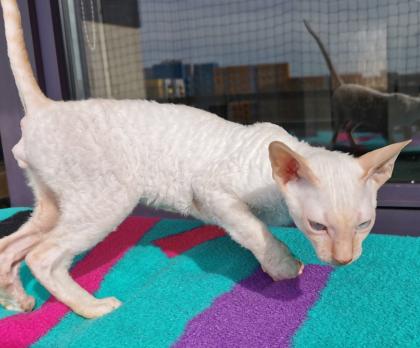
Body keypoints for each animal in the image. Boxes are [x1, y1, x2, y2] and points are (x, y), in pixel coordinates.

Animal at [0, 0, 410, 318]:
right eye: (318, 226)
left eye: (364, 225)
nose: (344, 260)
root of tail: (47, 107)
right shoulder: (211, 192)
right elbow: (254, 229)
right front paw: (282, 266)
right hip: (104, 198)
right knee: (41, 256)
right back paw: (92, 308)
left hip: (56, 203)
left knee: (11, 246)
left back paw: (17, 300)